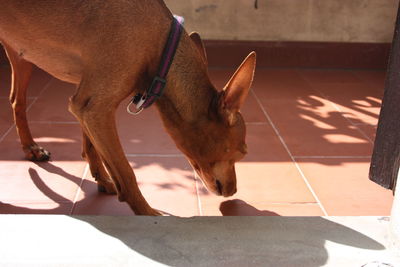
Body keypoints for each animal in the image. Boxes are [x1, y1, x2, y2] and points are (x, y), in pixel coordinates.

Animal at [0, 0, 256, 216]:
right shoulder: (94, 108)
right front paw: (148, 214)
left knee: (17, 101)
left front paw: (102, 178)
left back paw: (31, 148)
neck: (161, 46)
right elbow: (127, 172)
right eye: (241, 153)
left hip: (22, 56)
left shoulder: (86, 102)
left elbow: (91, 146)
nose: (233, 191)